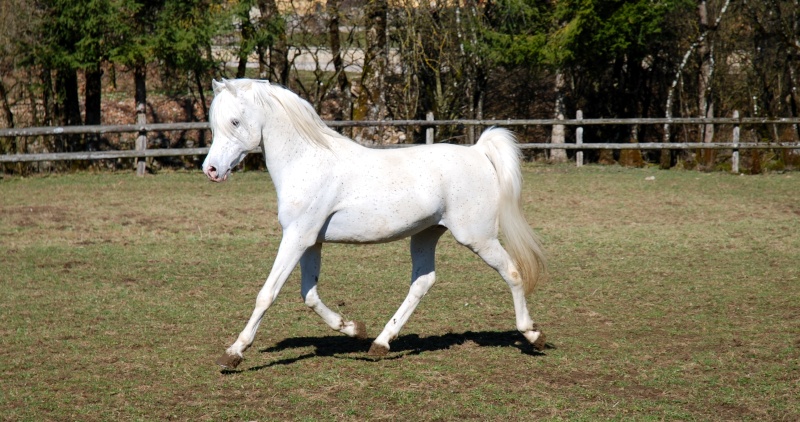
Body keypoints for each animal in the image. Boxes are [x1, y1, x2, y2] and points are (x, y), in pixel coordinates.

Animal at [203, 79, 548, 370]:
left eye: (234, 121)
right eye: (213, 124)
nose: (211, 170)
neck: (306, 161)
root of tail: (478, 152)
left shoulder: (297, 237)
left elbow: (267, 294)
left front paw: (234, 353)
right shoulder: (310, 241)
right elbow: (309, 295)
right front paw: (353, 328)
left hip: (477, 237)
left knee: (512, 272)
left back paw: (533, 335)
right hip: (426, 234)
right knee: (422, 282)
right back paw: (380, 343)